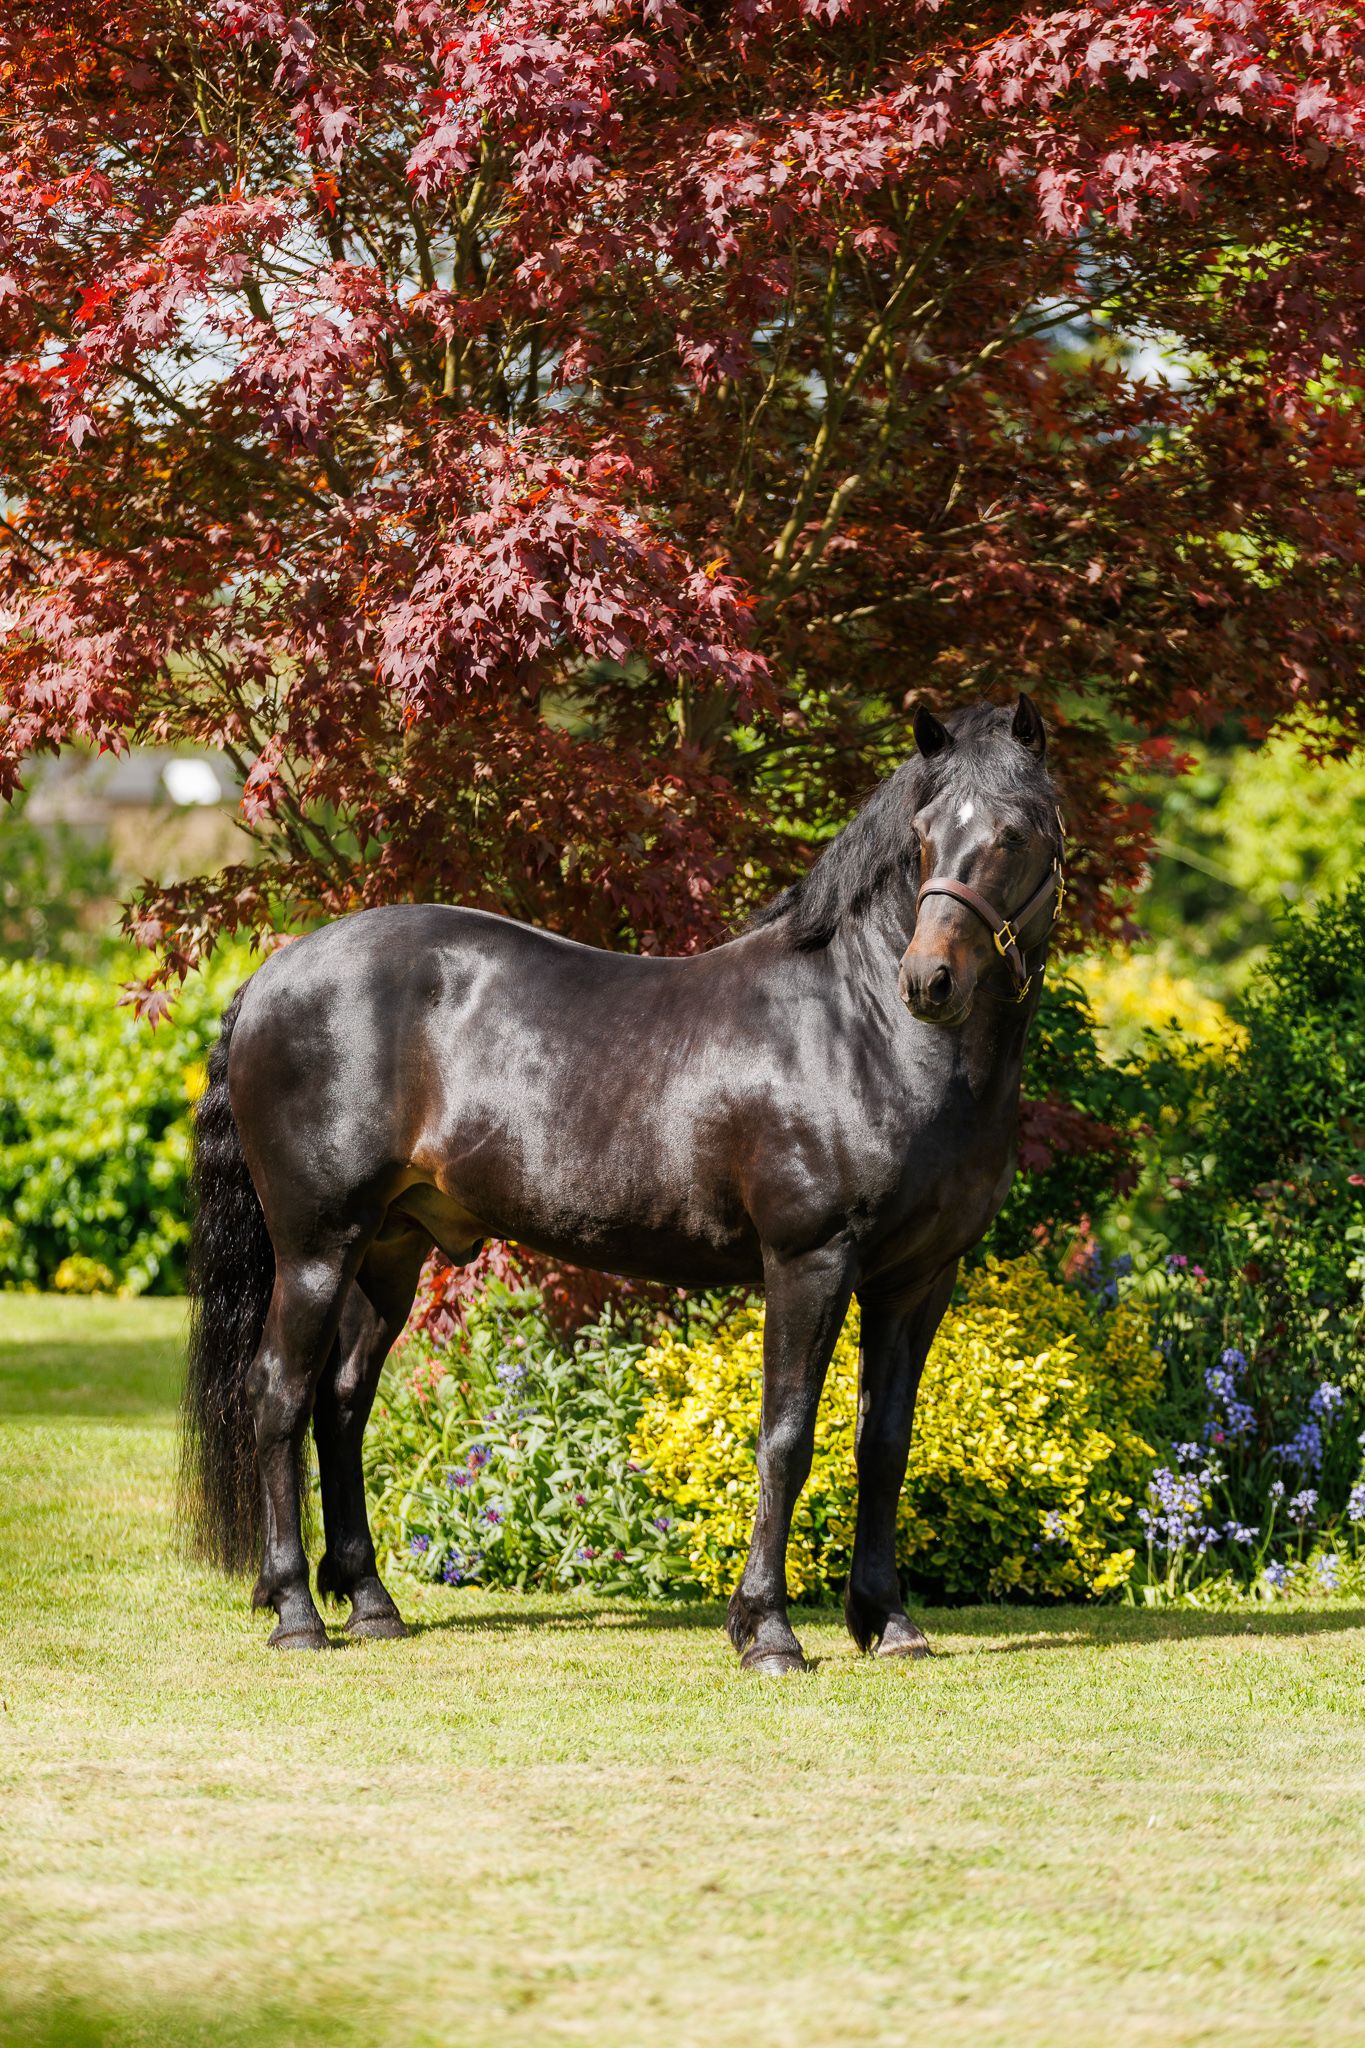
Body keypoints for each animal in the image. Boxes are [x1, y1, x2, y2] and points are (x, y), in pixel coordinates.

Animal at [183, 693, 1064, 1674]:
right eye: (921, 835)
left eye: (1016, 833)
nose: (929, 980)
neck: (863, 1028)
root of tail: (274, 973)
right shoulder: (809, 1261)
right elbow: (786, 1438)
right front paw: (766, 1630)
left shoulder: (917, 1281)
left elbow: (884, 1445)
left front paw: (890, 1622)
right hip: (315, 1244)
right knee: (278, 1395)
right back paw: (296, 1610)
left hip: (390, 1248)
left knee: (342, 1401)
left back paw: (371, 1603)